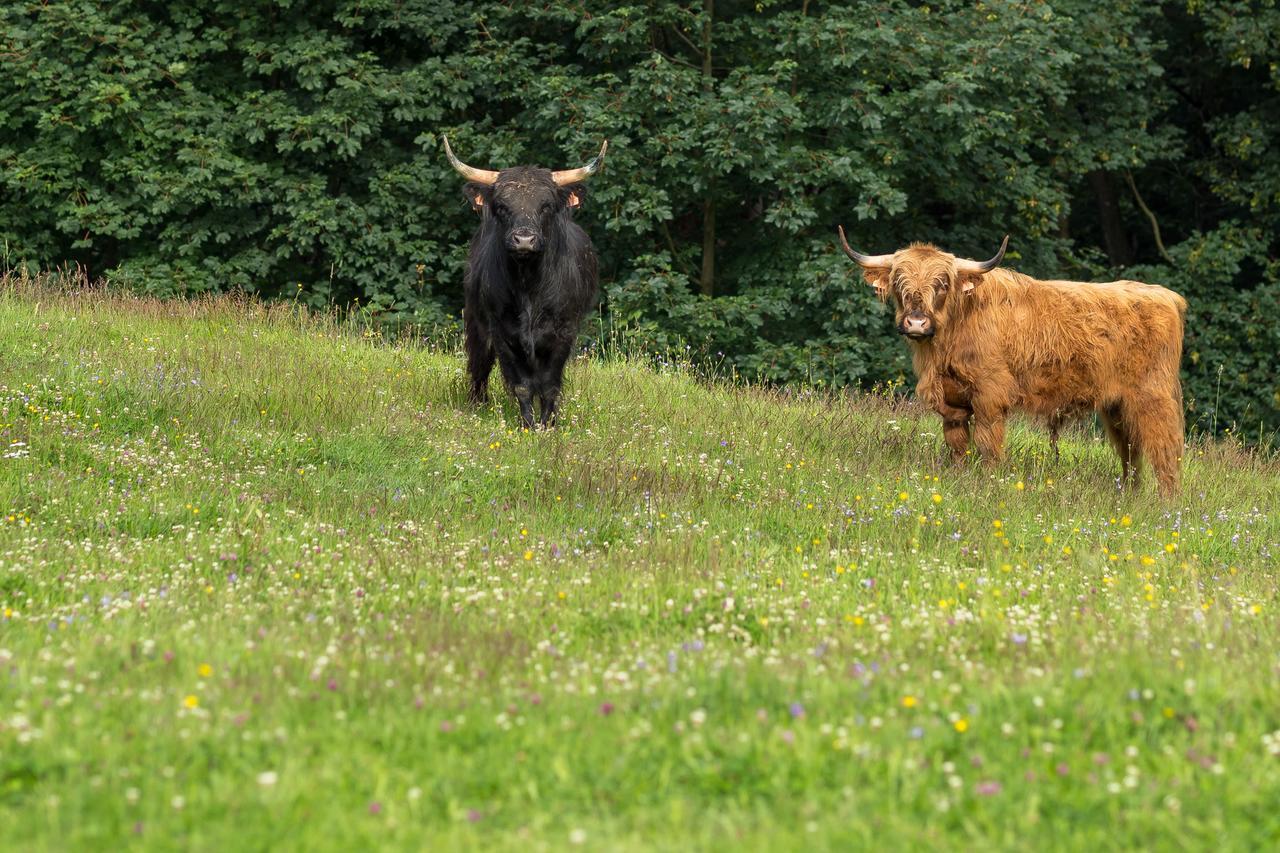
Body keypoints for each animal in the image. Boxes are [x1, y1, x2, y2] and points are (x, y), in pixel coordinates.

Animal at [445, 137, 604, 427]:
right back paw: (477, 402)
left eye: (546, 205)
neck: (529, 286)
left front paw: (548, 424)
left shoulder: (563, 331)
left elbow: (550, 384)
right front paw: (528, 425)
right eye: (502, 206)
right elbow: (521, 384)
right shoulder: (502, 331)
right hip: (475, 318)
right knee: (479, 362)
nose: (524, 240)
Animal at [839, 229, 1187, 494]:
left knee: (1165, 450)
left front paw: (989, 484)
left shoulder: (990, 397)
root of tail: (1167, 296)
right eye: (899, 281)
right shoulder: (953, 402)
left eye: (942, 283)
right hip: (1117, 406)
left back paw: (1165, 503)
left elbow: (988, 446)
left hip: (1153, 398)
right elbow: (957, 445)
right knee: (1130, 450)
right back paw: (1130, 495)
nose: (916, 323)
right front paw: (959, 478)